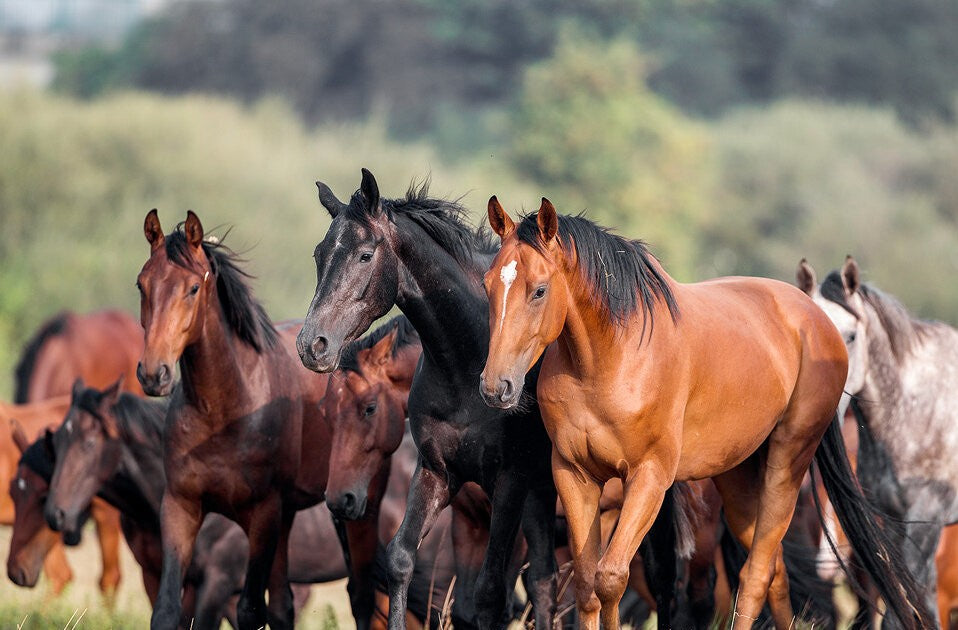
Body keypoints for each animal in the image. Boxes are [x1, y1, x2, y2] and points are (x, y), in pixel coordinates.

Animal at [478, 197, 931, 629]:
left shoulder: (649, 478)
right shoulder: (574, 475)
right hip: (738, 476)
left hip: (787, 463)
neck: (608, 360)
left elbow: (610, 579)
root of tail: (816, 319)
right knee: (775, 573)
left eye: (539, 290)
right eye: (488, 285)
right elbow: (588, 585)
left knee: (756, 574)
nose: (496, 386)